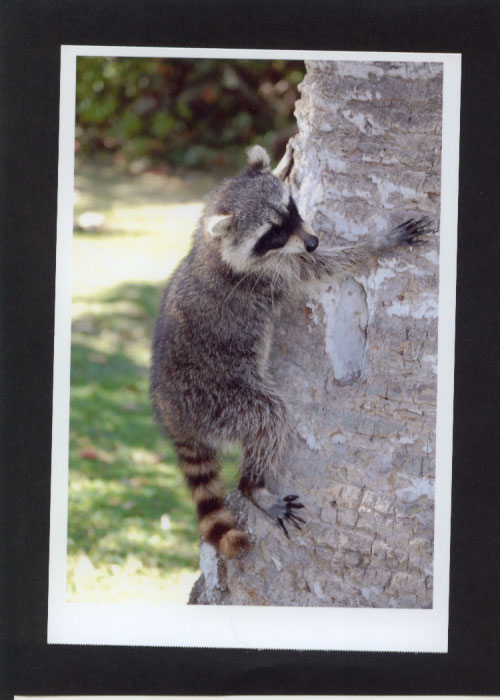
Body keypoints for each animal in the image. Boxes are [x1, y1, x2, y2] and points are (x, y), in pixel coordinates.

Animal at [150, 146, 432, 556]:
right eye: (273, 234)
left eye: (292, 209)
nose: (312, 241)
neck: (213, 247)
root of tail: (174, 419)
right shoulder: (272, 274)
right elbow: (323, 266)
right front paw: (378, 242)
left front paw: (284, 161)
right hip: (217, 399)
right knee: (270, 416)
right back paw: (254, 486)